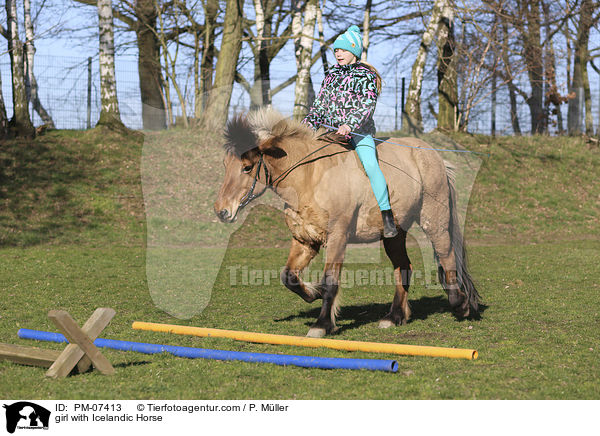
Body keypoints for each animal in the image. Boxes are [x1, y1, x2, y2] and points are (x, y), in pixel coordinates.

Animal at [213, 108, 480, 338]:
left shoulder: (337, 237)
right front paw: (313, 293)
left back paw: (461, 305)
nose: (222, 211)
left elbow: (331, 282)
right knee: (403, 267)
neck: (310, 177)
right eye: (226, 165)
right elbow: (289, 276)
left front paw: (321, 324)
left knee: (446, 256)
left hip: (434, 220)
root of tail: (435, 156)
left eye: (247, 168)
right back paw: (394, 317)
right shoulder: (305, 240)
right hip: (394, 234)